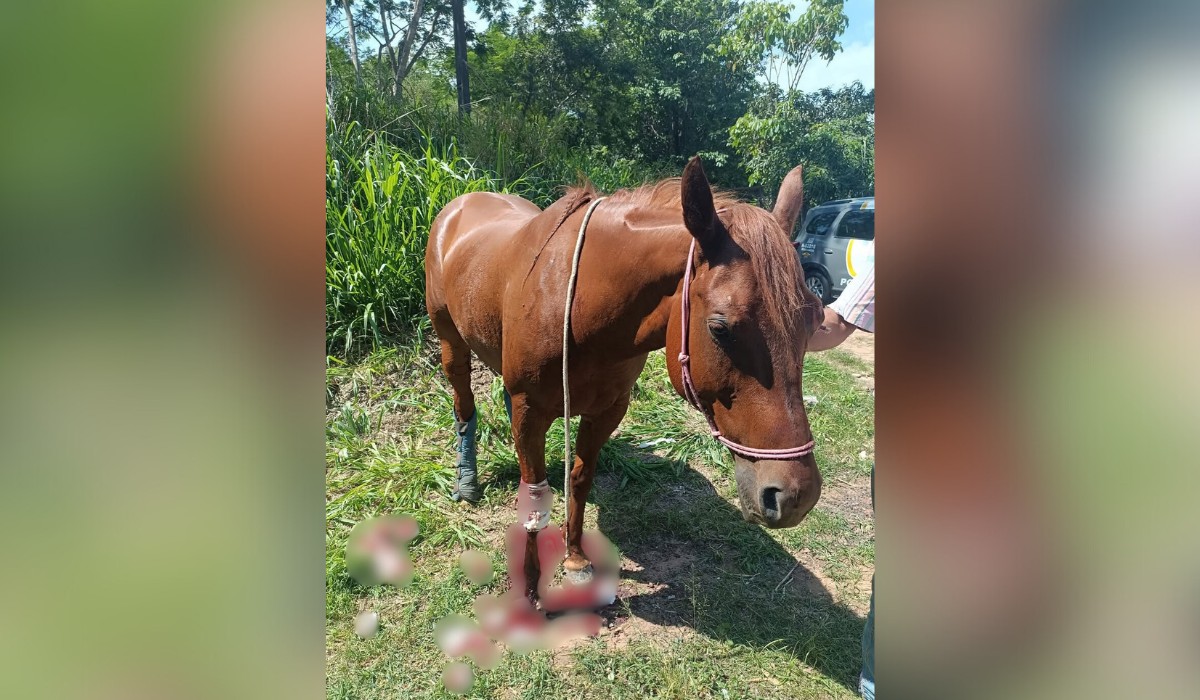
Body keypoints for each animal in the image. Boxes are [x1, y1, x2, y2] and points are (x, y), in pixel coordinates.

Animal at [425, 157, 823, 598]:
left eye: (815, 318)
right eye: (720, 329)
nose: (796, 496)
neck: (580, 307)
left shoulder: (607, 409)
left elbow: (580, 479)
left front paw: (574, 557)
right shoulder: (529, 411)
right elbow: (534, 497)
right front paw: (529, 585)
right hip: (450, 341)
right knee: (463, 403)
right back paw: (466, 481)